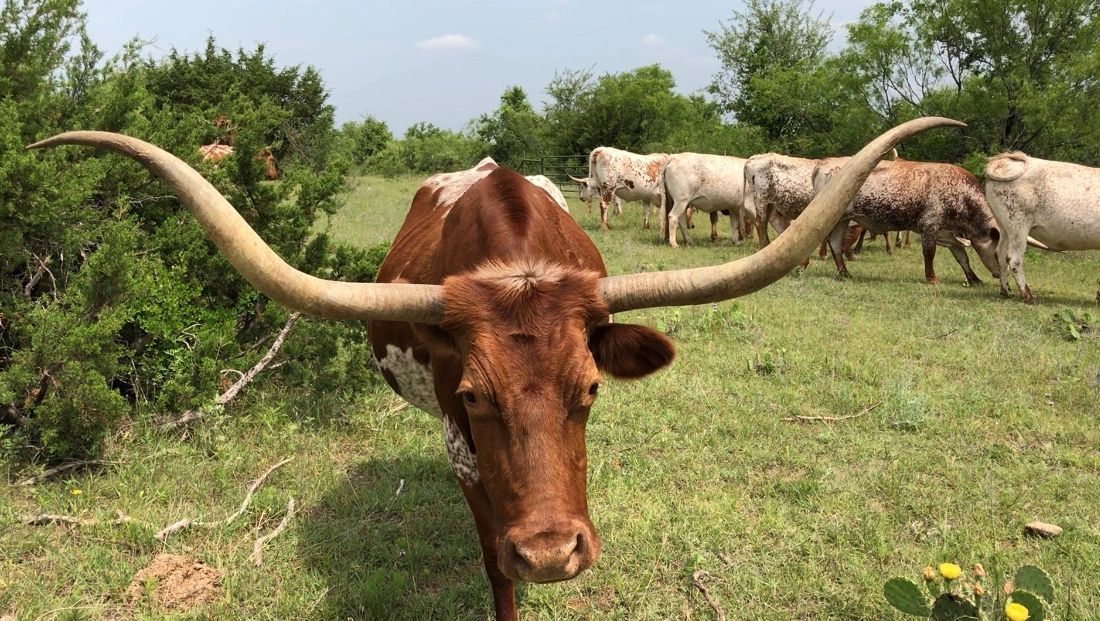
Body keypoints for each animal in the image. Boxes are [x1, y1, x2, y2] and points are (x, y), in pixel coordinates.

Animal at [814, 158, 1003, 281]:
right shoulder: (929, 225)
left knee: (836, 244)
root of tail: (822, 164)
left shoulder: (950, 234)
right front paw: (932, 278)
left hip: (843, 220)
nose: (999, 274)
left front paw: (974, 279)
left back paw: (844, 273)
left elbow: (962, 258)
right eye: (997, 254)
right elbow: (929, 253)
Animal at [985, 152, 1095, 303]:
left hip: (1004, 226)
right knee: (1014, 259)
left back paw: (1006, 291)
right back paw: (1027, 296)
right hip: (1018, 224)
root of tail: (1004, 160)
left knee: (1000, 255)